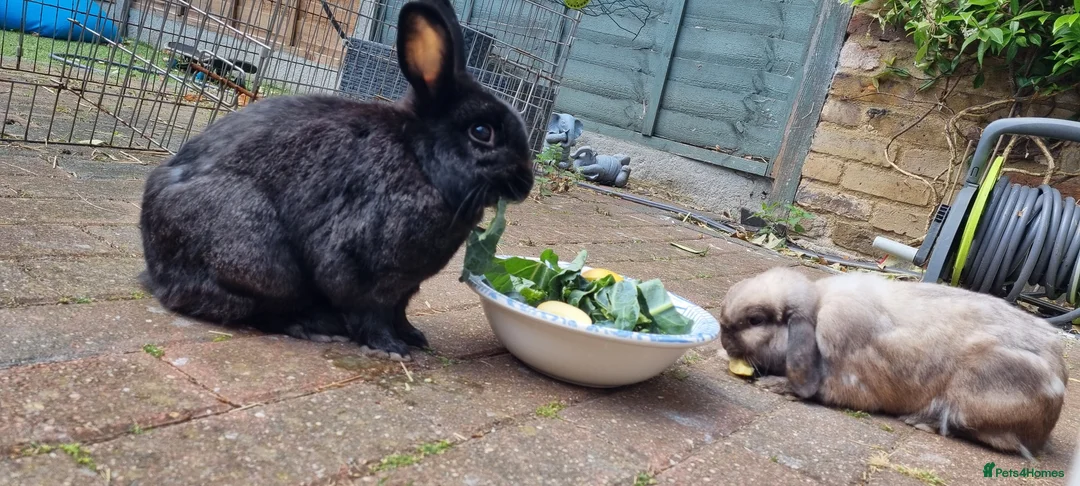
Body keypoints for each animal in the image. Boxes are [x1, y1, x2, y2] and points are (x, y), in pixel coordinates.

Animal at [138, 0, 534, 362]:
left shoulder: (405, 286)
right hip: (259, 258)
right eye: (481, 132)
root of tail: (155, 272)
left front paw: (414, 337)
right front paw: (392, 350)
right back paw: (311, 327)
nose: (526, 184)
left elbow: (400, 311)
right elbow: (371, 313)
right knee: (257, 309)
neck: (420, 160)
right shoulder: (360, 269)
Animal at [718, 266, 1069, 460]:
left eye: (755, 320)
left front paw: (775, 385)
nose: (723, 340)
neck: (817, 312)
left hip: (976, 394)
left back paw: (920, 421)